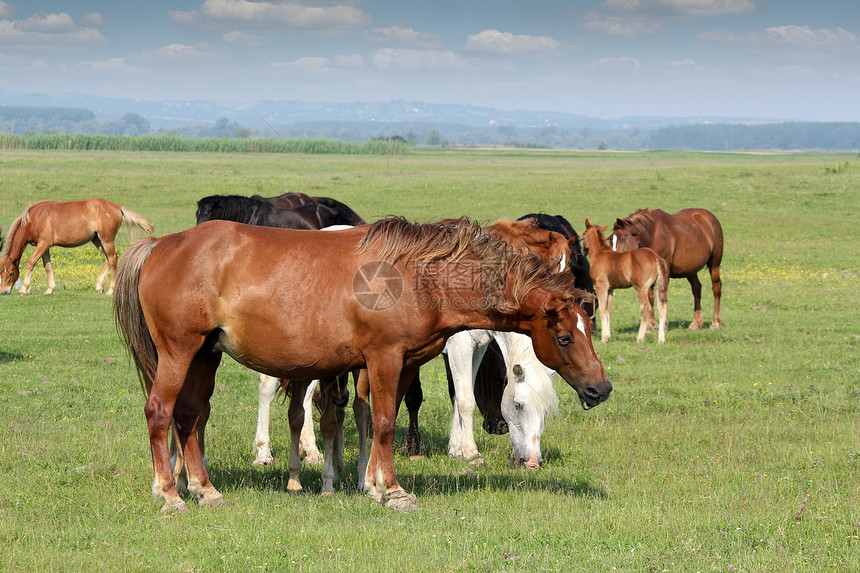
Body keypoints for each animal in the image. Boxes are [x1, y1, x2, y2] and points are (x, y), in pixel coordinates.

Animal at [0, 199, 153, 294]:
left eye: (11, 273)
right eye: (1, 272)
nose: (4, 292)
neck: (34, 219)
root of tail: (117, 207)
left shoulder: (43, 244)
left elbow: (31, 262)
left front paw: (23, 289)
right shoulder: (44, 246)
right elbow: (47, 266)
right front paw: (50, 289)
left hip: (106, 240)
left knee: (113, 259)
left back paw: (110, 290)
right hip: (97, 240)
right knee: (108, 259)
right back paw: (99, 286)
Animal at [114, 217, 612, 512]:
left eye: (589, 327)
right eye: (564, 337)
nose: (600, 389)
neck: (420, 277)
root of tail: (160, 245)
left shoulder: (403, 364)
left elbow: (374, 420)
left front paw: (370, 483)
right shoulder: (385, 358)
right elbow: (387, 423)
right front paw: (392, 491)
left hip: (205, 356)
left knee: (188, 417)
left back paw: (204, 488)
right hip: (180, 353)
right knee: (160, 412)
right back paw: (170, 493)